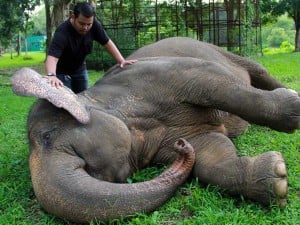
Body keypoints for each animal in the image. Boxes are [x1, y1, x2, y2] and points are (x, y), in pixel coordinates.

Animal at [10, 37, 298, 223]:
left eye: (47, 137)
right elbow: (211, 157)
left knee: (257, 71)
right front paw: (278, 176)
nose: (181, 146)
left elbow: (213, 82)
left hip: (224, 52)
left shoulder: (161, 73)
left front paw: (294, 108)